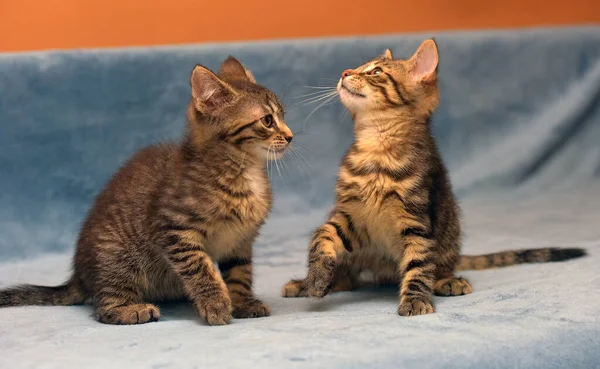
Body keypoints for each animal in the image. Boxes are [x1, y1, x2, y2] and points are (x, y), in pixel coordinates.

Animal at [0, 56, 292, 324]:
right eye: (267, 120)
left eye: (283, 115)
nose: (290, 136)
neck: (242, 171)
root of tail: (79, 276)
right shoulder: (174, 228)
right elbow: (200, 268)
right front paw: (216, 304)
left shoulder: (240, 240)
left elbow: (240, 273)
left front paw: (242, 302)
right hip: (117, 255)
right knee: (104, 307)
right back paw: (131, 310)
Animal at [282, 40, 584, 316]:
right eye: (359, 67)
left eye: (376, 72)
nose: (345, 72)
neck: (377, 151)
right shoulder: (350, 213)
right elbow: (322, 235)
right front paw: (317, 277)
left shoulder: (417, 221)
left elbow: (418, 265)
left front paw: (416, 300)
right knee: (349, 279)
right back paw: (307, 284)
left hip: (449, 236)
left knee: (438, 267)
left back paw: (449, 281)